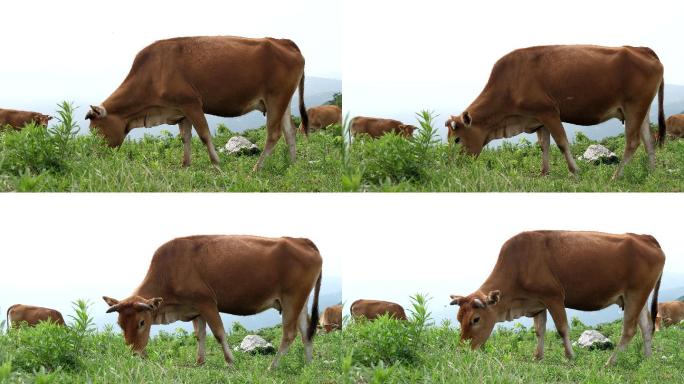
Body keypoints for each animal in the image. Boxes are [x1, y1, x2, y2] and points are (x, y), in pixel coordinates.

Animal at [87, 36, 308, 171]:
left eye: (95, 130)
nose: (96, 155)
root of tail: (283, 41)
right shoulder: (179, 110)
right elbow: (185, 138)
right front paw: (185, 166)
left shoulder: (191, 103)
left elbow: (204, 135)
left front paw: (217, 165)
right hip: (282, 100)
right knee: (290, 131)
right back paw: (294, 164)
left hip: (276, 97)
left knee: (274, 134)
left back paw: (257, 168)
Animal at [103, 234, 324, 368]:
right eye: (119, 324)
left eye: (142, 322)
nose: (134, 353)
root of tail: (301, 240)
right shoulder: (194, 309)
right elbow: (199, 335)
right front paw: (200, 362)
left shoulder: (207, 303)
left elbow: (218, 333)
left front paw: (230, 362)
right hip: (300, 301)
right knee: (306, 332)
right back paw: (309, 364)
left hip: (292, 299)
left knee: (289, 334)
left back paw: (272, 367)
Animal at [446, 45, 664, 178]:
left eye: (456, 139)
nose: (455, 165)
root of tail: (640, 49)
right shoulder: (537, 118)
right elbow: (544, 146)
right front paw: (544, 173)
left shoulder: (549, 112)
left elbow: (561, 143)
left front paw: (574, 171)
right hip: (641, 109)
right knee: (649, 140)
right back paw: (652, 172)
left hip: (634, 106)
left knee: (633, 142)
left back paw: (616, 176)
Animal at [448, 231, 664, 366]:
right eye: (459, 319)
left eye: (475, 319)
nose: (461, 351)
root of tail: (645, 237)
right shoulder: (537, 303)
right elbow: (539, 330)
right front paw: (538, 357)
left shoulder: (554, 297)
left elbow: (562, 328)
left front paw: (570, 357)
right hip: (637, 296)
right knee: (646, 327)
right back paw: (647, 358)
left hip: (636, 293)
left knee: (629, 330)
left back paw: (610, 362)